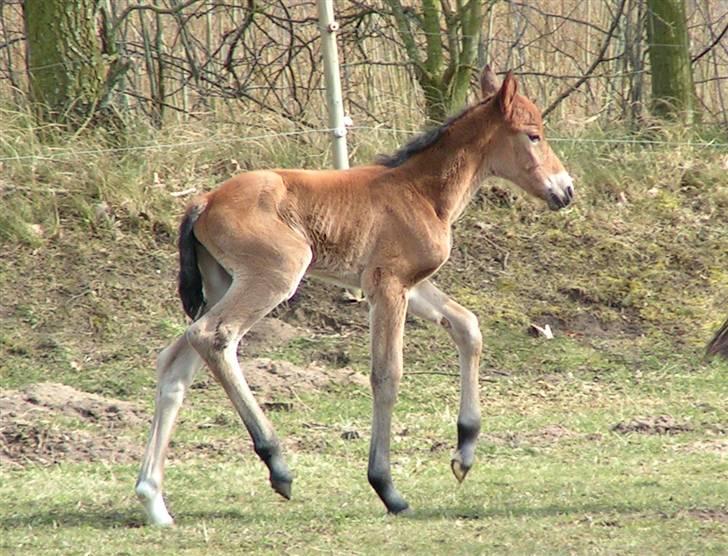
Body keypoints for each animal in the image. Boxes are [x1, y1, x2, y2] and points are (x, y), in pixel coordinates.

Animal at [135, 66, 576, 524]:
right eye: (533, 135)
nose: (566, 190)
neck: (420, 192)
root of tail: (203, 200)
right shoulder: (388, 285)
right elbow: (387, 374)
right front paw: (387, 487)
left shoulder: (410, 284)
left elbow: (467, 326)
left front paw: (464, 452)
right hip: (276, 275)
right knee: (213, 337)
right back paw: (276, 464)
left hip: (223, 282)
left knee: (176, 362)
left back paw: (154, 500)